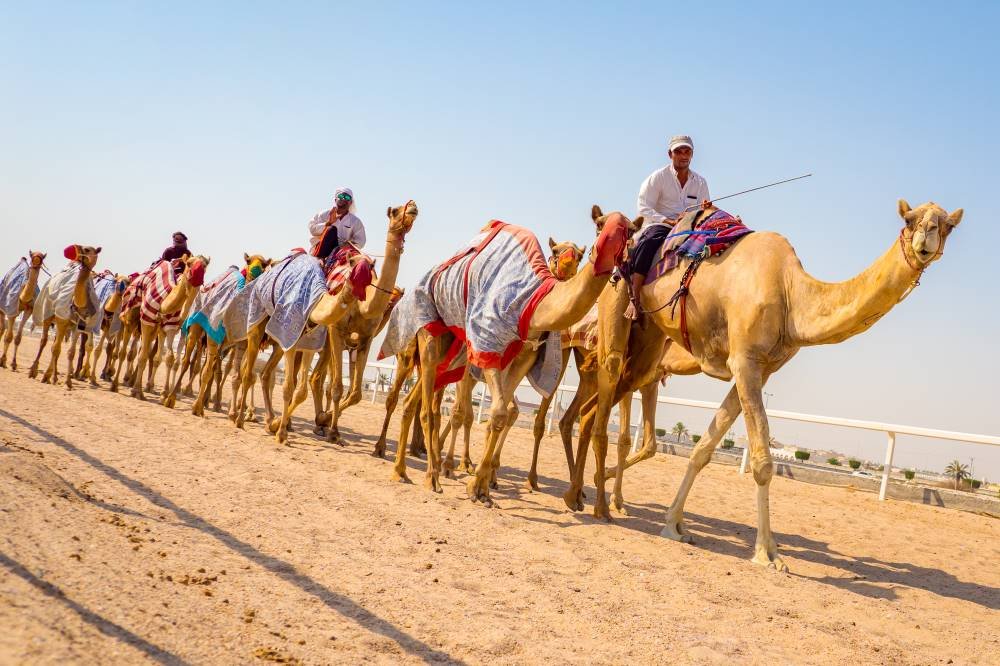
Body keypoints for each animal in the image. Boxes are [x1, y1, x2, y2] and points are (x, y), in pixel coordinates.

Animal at [32, 244, 102, 390]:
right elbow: (56, 349)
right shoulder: (62, 320)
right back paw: (34, 371)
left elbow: (70, 352)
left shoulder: (76, 326)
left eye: (88, 249)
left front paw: (67, 382)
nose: (73, 249)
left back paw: (53, 375)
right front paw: (47, 376)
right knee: (45, 341)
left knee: (54, 345)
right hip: (48, 315)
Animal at [128, 254, 210, 400]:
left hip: (160, 330)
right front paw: (137, 390)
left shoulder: (170, 327)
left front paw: (165, 393)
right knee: (137, 349)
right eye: (189, 263)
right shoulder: (147, 321)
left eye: (205, 266)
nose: (197, 276)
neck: (164, 302)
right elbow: (143, 355)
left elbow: (169, 358)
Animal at [234, 200, 418, 444]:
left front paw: (326, 422)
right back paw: (244, 416)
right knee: (252, 370)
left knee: (268, 374)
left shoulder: (364, 340)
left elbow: (355, 392)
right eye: (396, 211)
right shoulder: (333, 331)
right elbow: (334, 386)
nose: (412, 206)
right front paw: (327, 426)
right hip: (261, 327)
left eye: (371, 266)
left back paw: (272, 419)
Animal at [378, 210, 636, 496]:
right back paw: (430, 474)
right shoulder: (485, 342)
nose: (608, 249)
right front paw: (466, 475)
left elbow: (502, 413)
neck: (533, 302)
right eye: (600, 224)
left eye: (631, 230)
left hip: (448, 353)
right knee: (426, 405)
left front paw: (482, 485)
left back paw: (402, 469)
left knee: (415, 401)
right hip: (430, 332)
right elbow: (475, 412)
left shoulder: (524, 357)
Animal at [584, 200, 964, 568]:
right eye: (910, 219)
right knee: (608, 382)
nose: (926, 240)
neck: (789, 293)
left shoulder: (760, 367)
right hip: (618, 303)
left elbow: (704, 448)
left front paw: (674, 524)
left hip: (648, 343)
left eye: (948, 225)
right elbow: (763, 462)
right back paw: (593, 495)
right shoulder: (744, 362)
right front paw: (767, 553)